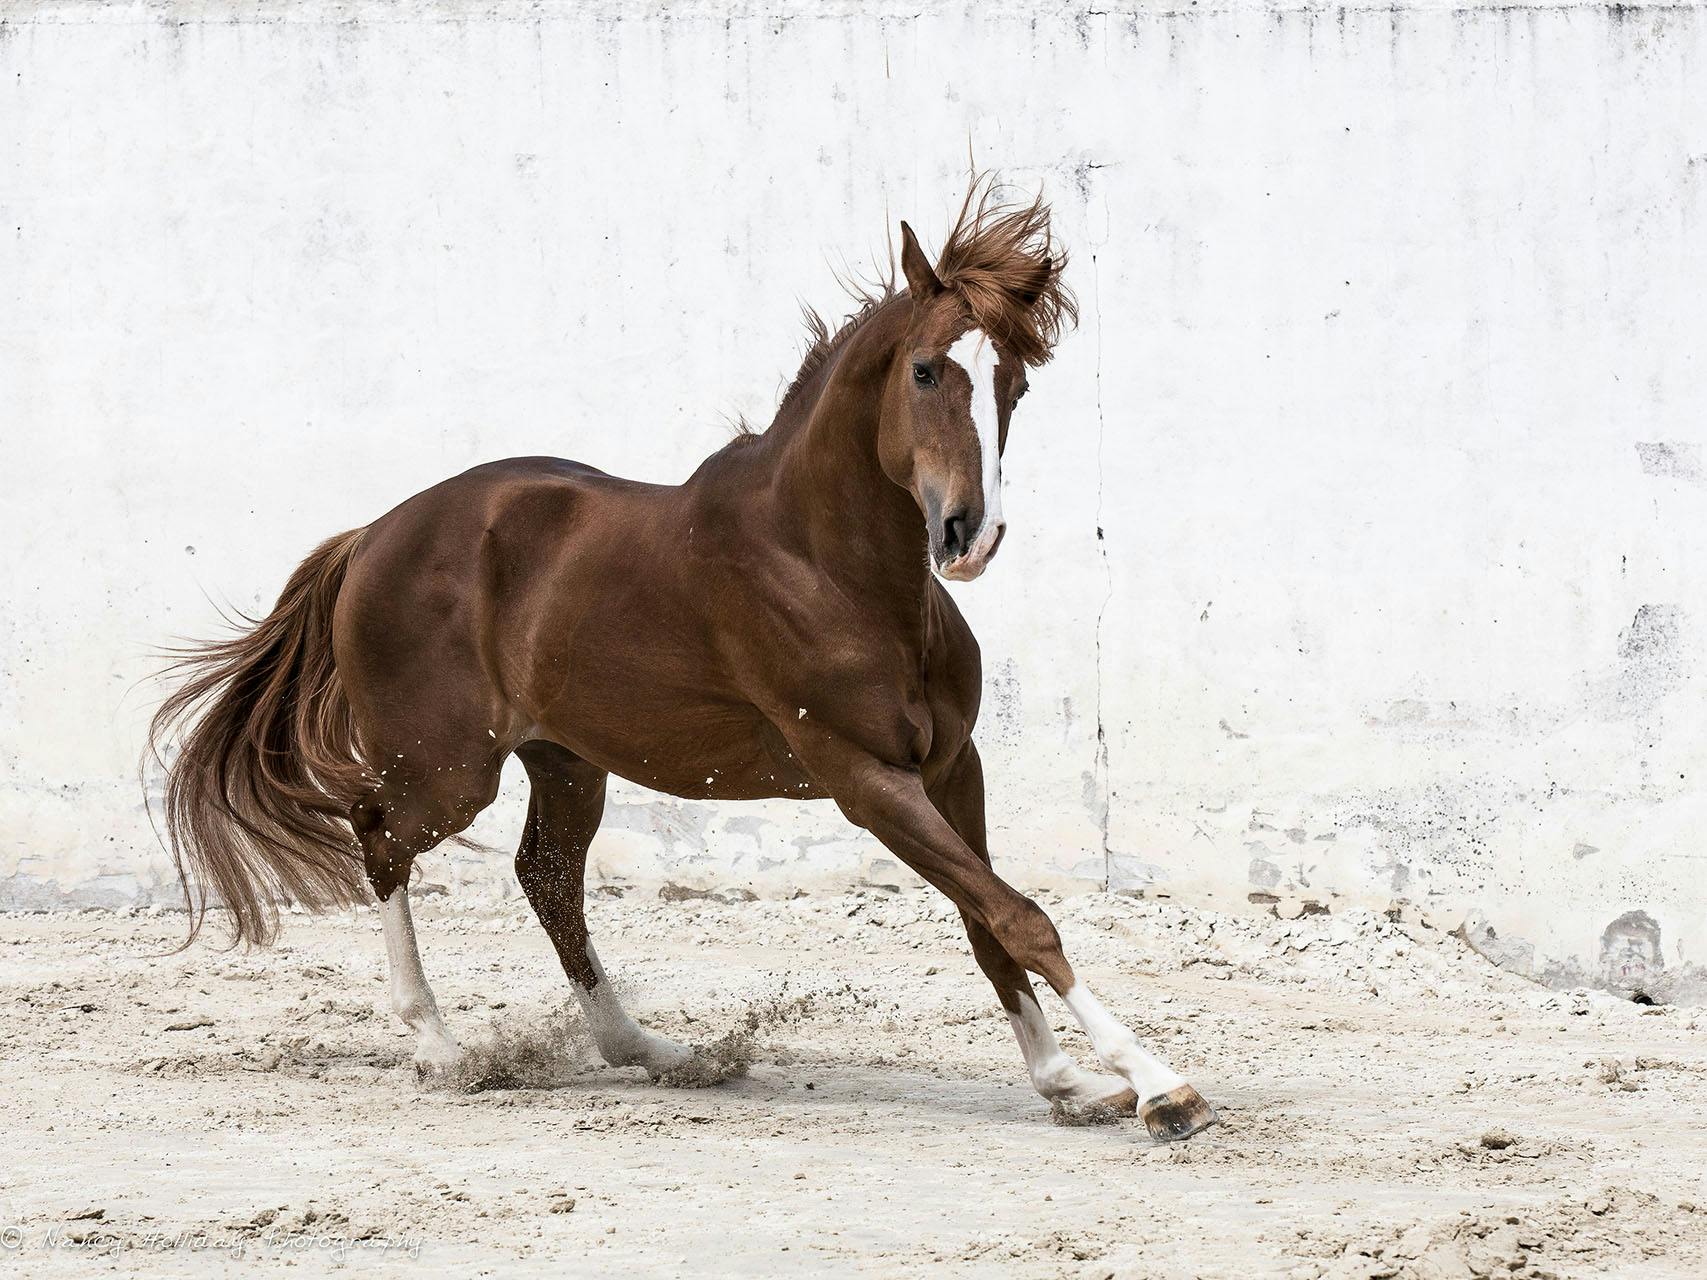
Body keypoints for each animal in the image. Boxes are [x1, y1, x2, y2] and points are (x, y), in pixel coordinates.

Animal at [143, 187, 1215, 1140]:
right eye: (922, 372)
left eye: (1013, 385)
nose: (967, 535)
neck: (826, 565)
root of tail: (371, 536)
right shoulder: (866, 779)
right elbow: (1020, 917)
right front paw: (1158, 1085)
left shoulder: (953, 766)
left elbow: (987, 922)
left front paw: (1067, 1083)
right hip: (447, 769)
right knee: (380, 841)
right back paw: (439, 1049)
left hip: (565, 762)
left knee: (546, 878)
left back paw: (649, 1050)